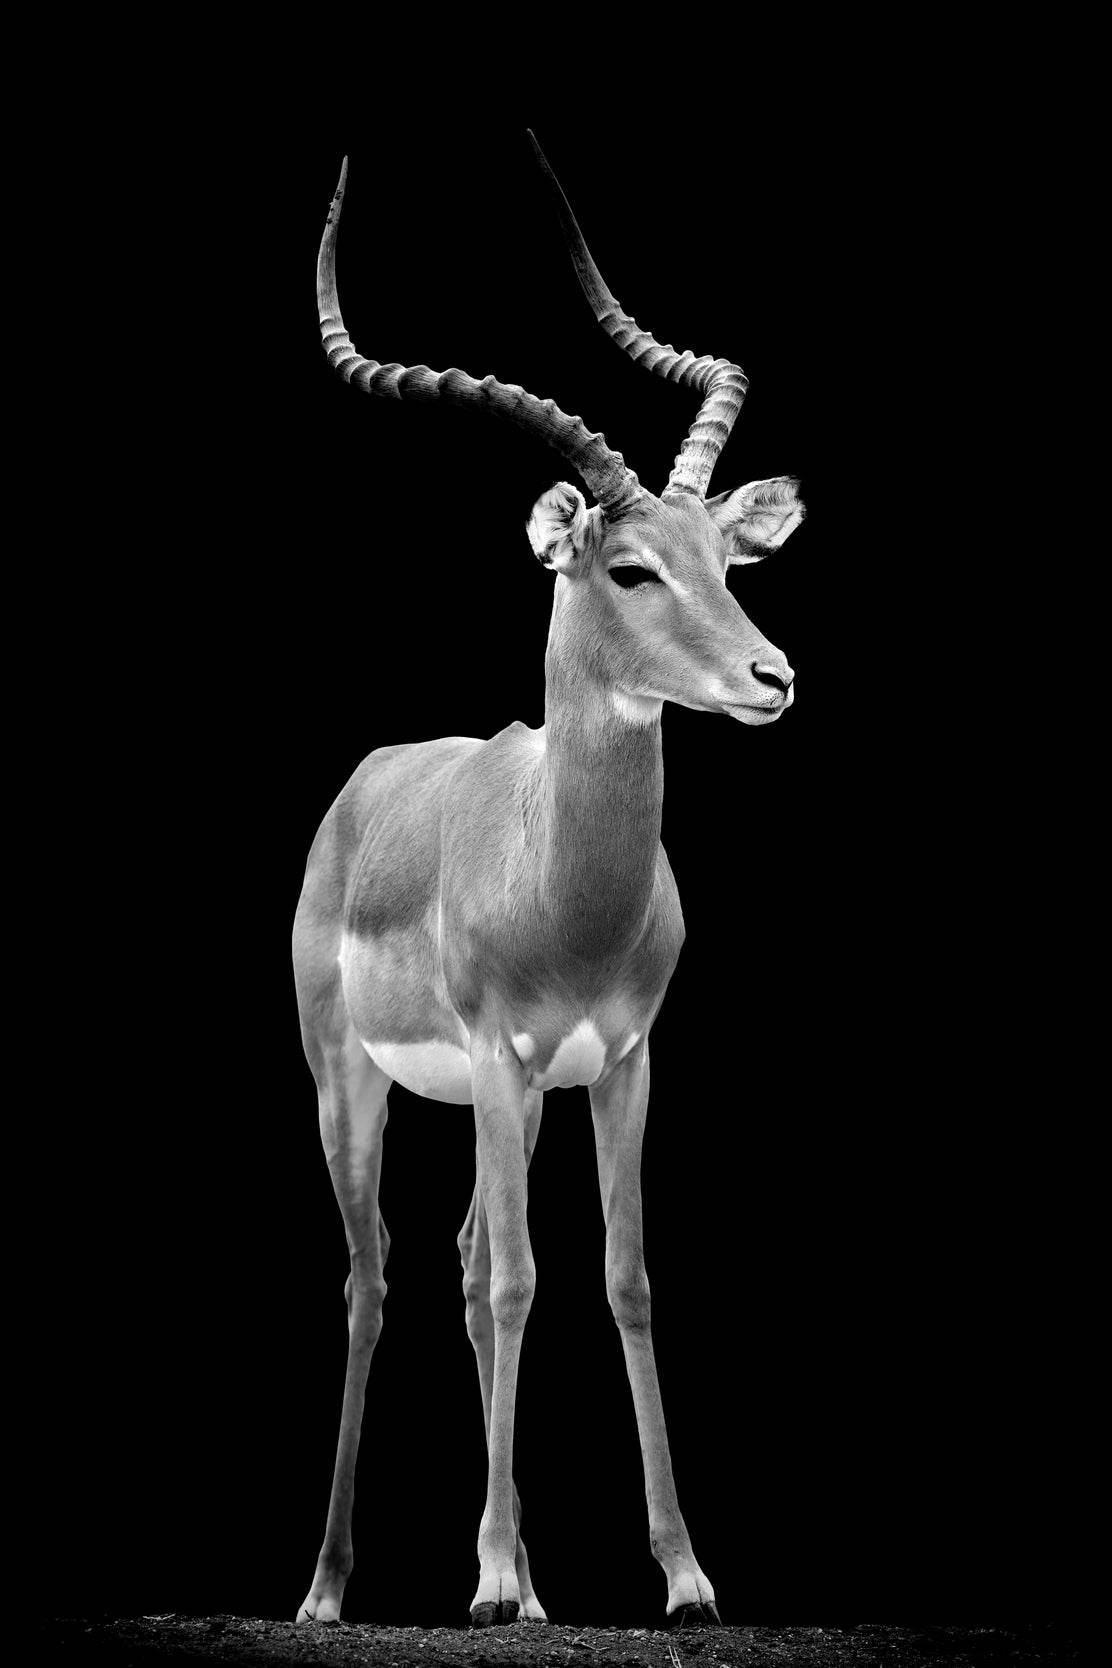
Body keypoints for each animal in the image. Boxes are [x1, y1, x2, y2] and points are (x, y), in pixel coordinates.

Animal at [294, 135, 805, 1631]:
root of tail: (368, 782)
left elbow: (621, 1277)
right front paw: (496, 1578)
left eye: (722, 559)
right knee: (379, 1274)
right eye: (627, 566)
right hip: (359, 1082)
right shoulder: (498, 1053)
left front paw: (683, 1573)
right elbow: (523, 1280)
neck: (559, 879)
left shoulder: (622, 1060)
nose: (771, 677)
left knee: (464, 1260)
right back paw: (336, 1587)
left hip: (494, 1106)